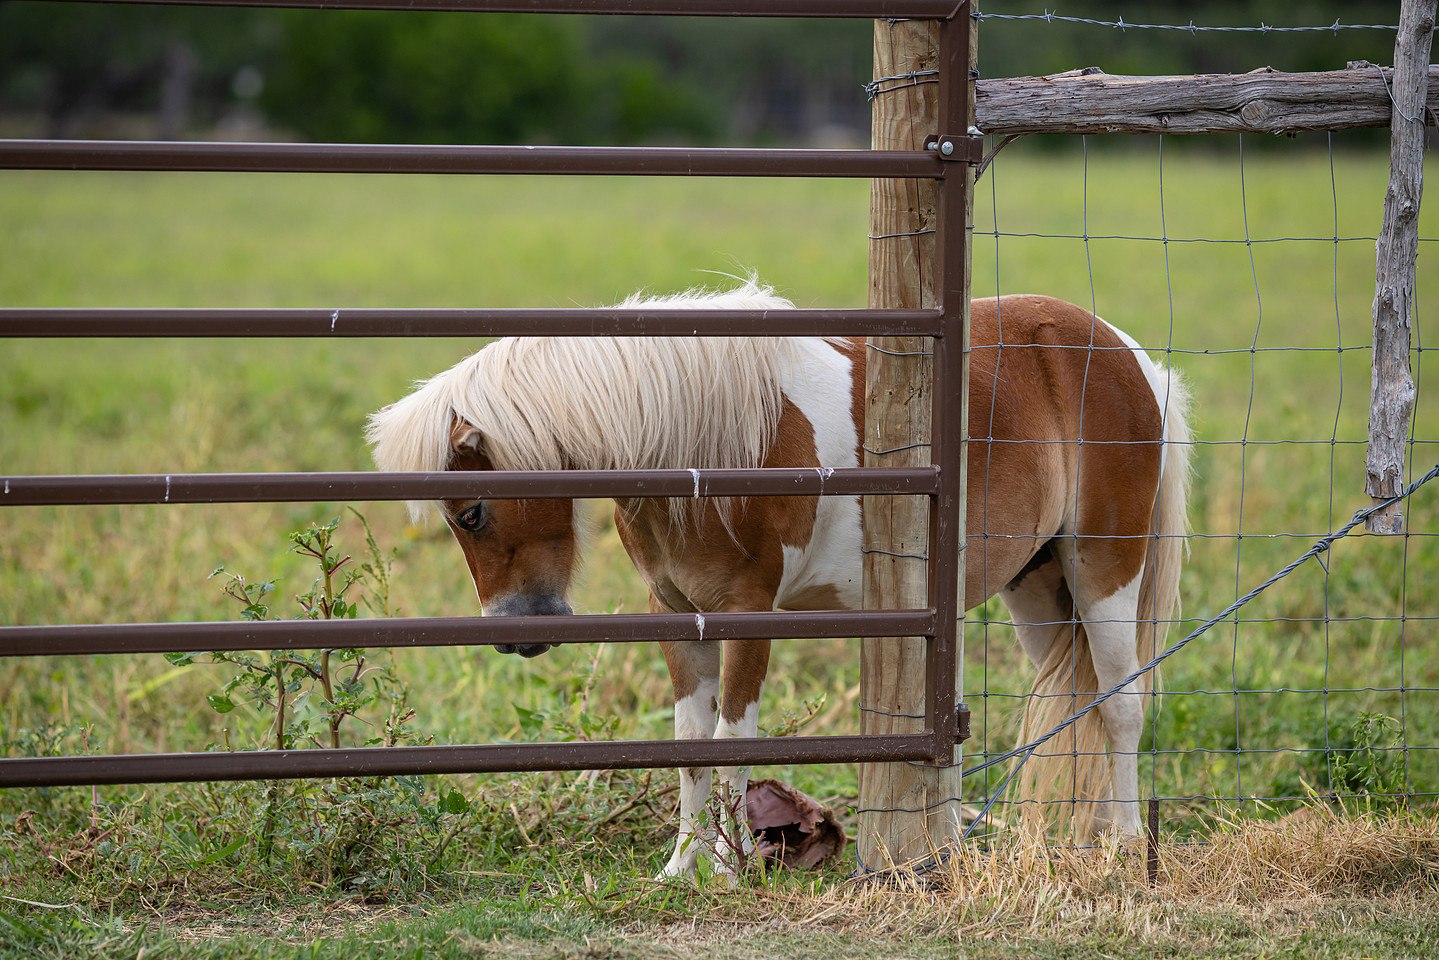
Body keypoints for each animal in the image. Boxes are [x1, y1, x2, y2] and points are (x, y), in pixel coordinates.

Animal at [366, 280, 1191, 877]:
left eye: (470, 513)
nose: (517, 632)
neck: (700, 439)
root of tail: (1128, 356)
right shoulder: (677, 616)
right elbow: (689, 743)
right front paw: (681, 869)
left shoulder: (746, 612)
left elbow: (731, 737)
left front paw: (728, 869)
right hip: (1037, 588)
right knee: (1079, 707)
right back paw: (1054, 846)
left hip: (1103, 570)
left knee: (1120, 704)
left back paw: (1123, 845)